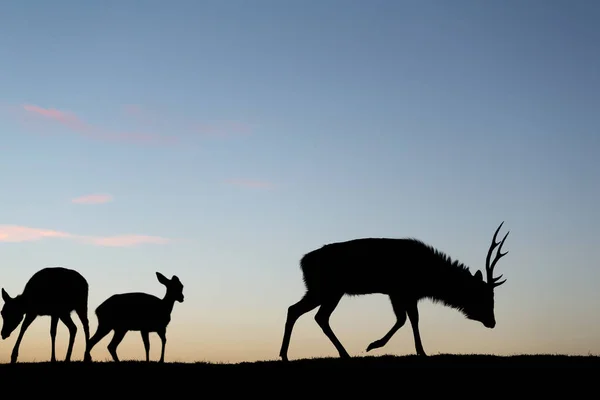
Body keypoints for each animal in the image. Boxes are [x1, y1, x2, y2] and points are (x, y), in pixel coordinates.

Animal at [278, 220, 508, 360]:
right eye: (484, 296)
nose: (493, 322)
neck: (429, 278)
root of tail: (303, 262)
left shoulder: (400, 293)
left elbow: (407, 319)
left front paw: (414, 350)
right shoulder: (401, 290)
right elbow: (408, 319)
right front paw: (377, 345)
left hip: (327, 291)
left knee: (306, 313)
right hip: (327, 289)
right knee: (306, 313)